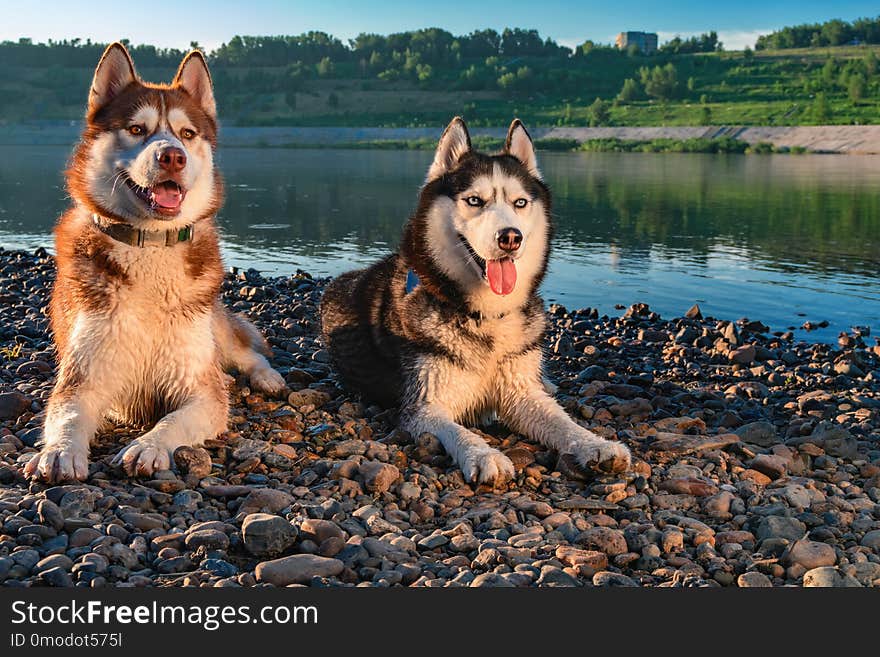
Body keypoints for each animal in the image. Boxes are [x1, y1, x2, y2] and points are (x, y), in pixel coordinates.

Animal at [27, 42, 284, 482]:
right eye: (136, 130)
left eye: (187, 134)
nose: (172, 157)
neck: (150, 246)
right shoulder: (83, 378)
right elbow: (68, 416)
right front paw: (60, 452)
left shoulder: (201, 385)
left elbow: (174, 419)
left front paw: (148, 445)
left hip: (214, 327)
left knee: (246, 352)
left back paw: (267, 376)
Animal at [320, 118, 628, 482]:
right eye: (475, 200)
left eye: (520, 203)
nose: (510, 237)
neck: (486, 314)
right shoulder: (424, 405)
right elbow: (459, 431)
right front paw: (483, 454)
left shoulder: (520, 392)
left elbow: (562, 423)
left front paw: (596, 444)